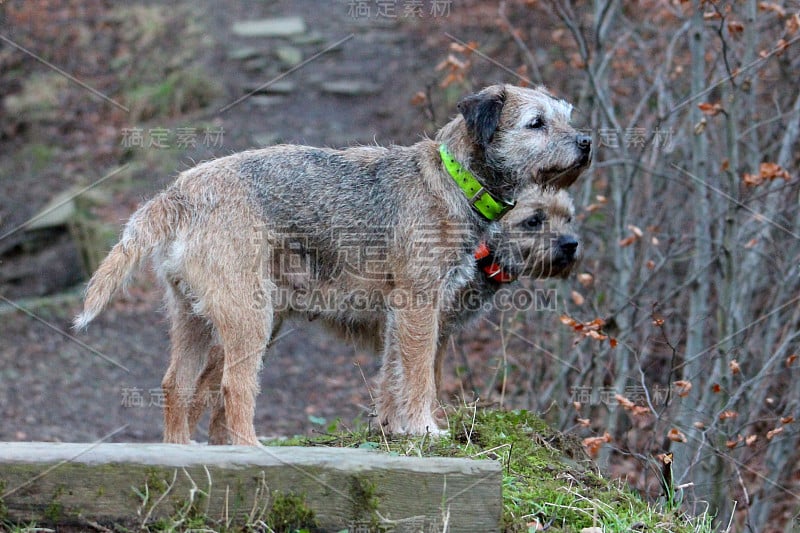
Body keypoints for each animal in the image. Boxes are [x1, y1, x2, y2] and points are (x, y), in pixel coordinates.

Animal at [75, 82, 592, 440]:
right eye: (536, 123)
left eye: (565, 116)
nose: (587, 141)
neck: (453, 180)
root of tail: (178, 192)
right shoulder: (421, 306)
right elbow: (419, 375)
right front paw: (424, 429)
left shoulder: (402, 315)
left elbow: (395, 373)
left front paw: (394, 429)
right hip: (249, 317)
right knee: (231, 388)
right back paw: (249, 450)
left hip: (193, 318)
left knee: (176, 386)